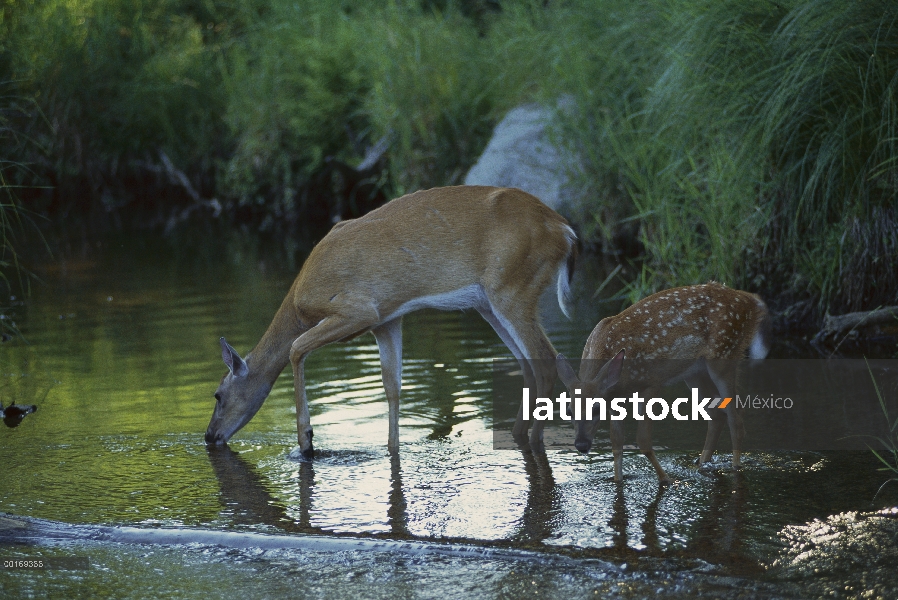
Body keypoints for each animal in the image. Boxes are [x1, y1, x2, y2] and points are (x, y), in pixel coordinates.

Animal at [205, 185, 576, 458]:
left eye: (218, 395)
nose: (209, 436)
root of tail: (565, 231)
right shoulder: (386, 320)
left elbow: (295, 348)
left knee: (546, 362)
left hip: (513, 288)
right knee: (529, 365)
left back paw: (538, 441)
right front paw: (391, 448)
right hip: (489, 303)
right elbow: (392, 386)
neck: (299, 302)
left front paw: (306, 442)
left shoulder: (358, 310)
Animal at [552, 284, 768, 486]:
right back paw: (701, 464)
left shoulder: (651, 382)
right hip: (695, 371)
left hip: (724, 353)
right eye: (569, 411)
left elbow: (643, 440)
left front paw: (667, 479)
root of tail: (753, 301)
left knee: (735, 418)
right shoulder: (614, 398)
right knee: (717, 414)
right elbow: (617, 441)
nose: (581, 444)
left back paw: (735, 468)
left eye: (596, 408)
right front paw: (618, 480)